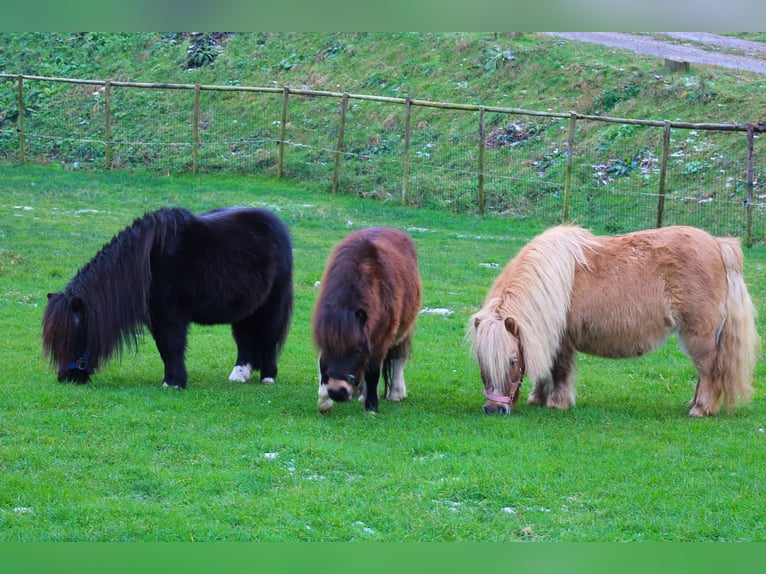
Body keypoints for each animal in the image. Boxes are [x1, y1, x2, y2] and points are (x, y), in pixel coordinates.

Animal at [42, 207, 294, 392]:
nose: (67, 378)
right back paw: (239, 375)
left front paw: (174, 382)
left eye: (76, 336)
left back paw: (268, 376)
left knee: (269, 339)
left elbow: (172, 345)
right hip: (245, 310)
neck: (149, 261)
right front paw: (171, 379)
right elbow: (164, 347)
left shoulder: (170, 315)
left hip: (271, 306)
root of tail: (277, 225)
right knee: (244, 340)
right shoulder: (157, 317)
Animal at [314, 227, 426, 412]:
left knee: (398, 357)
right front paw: (324, 401)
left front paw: (372, 406)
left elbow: (373, 371)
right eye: (328, 348)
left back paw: (396, 393)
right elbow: (323, 364)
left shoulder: (379, 340)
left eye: (356, 350)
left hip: (404, 331)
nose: (337, 393)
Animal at [472, 225, 760, 418]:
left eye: (511, 361)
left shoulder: (563, 340)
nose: (493, 409)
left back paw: (700, 409)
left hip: (699, 333)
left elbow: (559, 370)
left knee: (708, 369)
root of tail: (718, 244)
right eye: (480, 360)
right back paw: (694, 404)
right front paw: (538, 399)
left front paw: (557, 403)